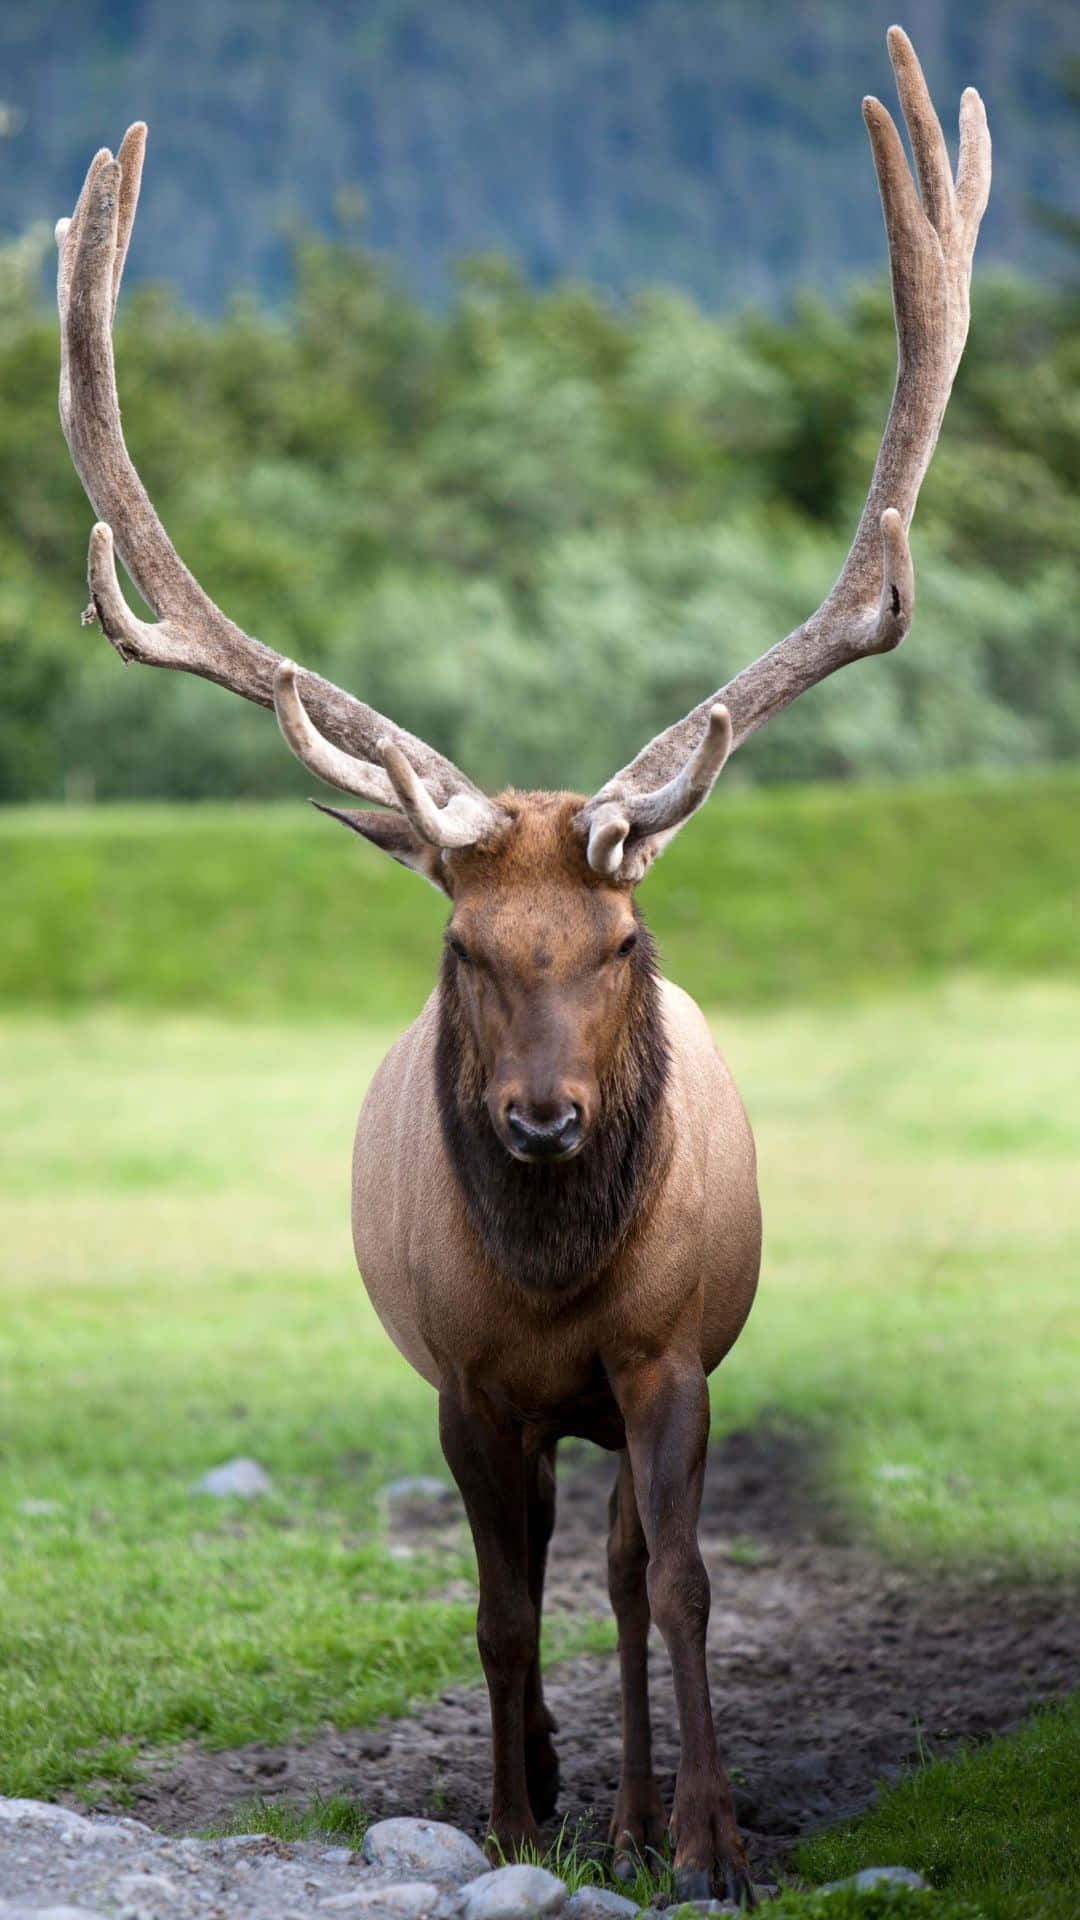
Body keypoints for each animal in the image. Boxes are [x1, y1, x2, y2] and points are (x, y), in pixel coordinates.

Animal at [56, 30, 983, 1904]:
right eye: (462, 943)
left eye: (622, 938)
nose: (545, 1122)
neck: (557, 1284)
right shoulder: (470, 1383)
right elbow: (491, 1609)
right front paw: (504, 1812)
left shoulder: (674, 1358)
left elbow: (679, 1583)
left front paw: (706, 1843)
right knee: (544, 1570)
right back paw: (561, 1787)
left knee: (619, 1573)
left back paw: (623, 1809)